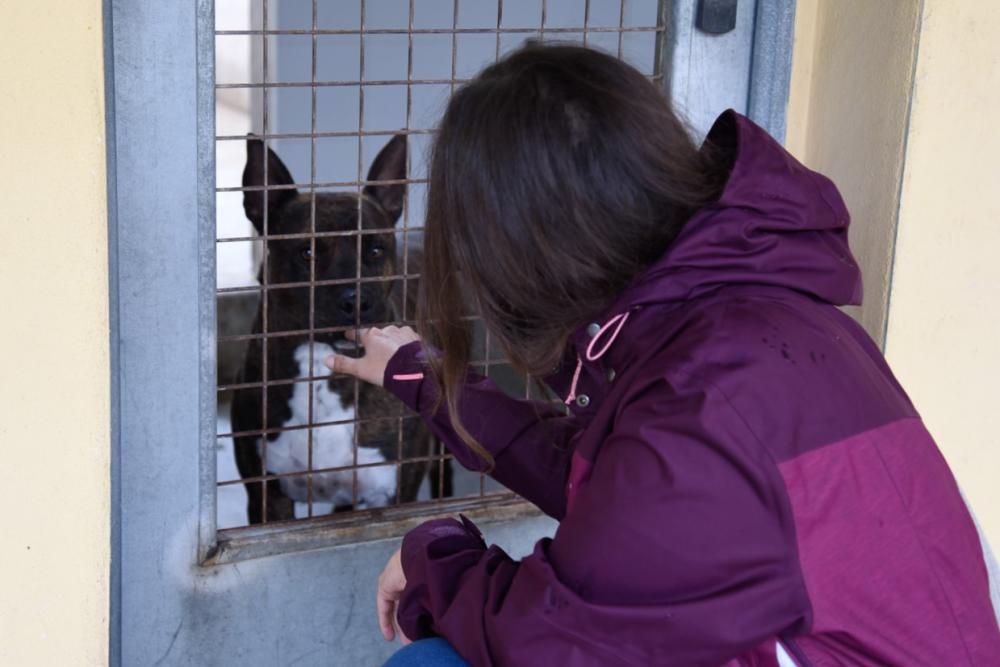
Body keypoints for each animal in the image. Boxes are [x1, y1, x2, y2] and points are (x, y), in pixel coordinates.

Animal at [230, 133, 450, 524]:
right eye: (307, 253)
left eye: (376, 250)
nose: (357, 301)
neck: (322, 364)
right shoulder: (268, 499)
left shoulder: (392, 495)